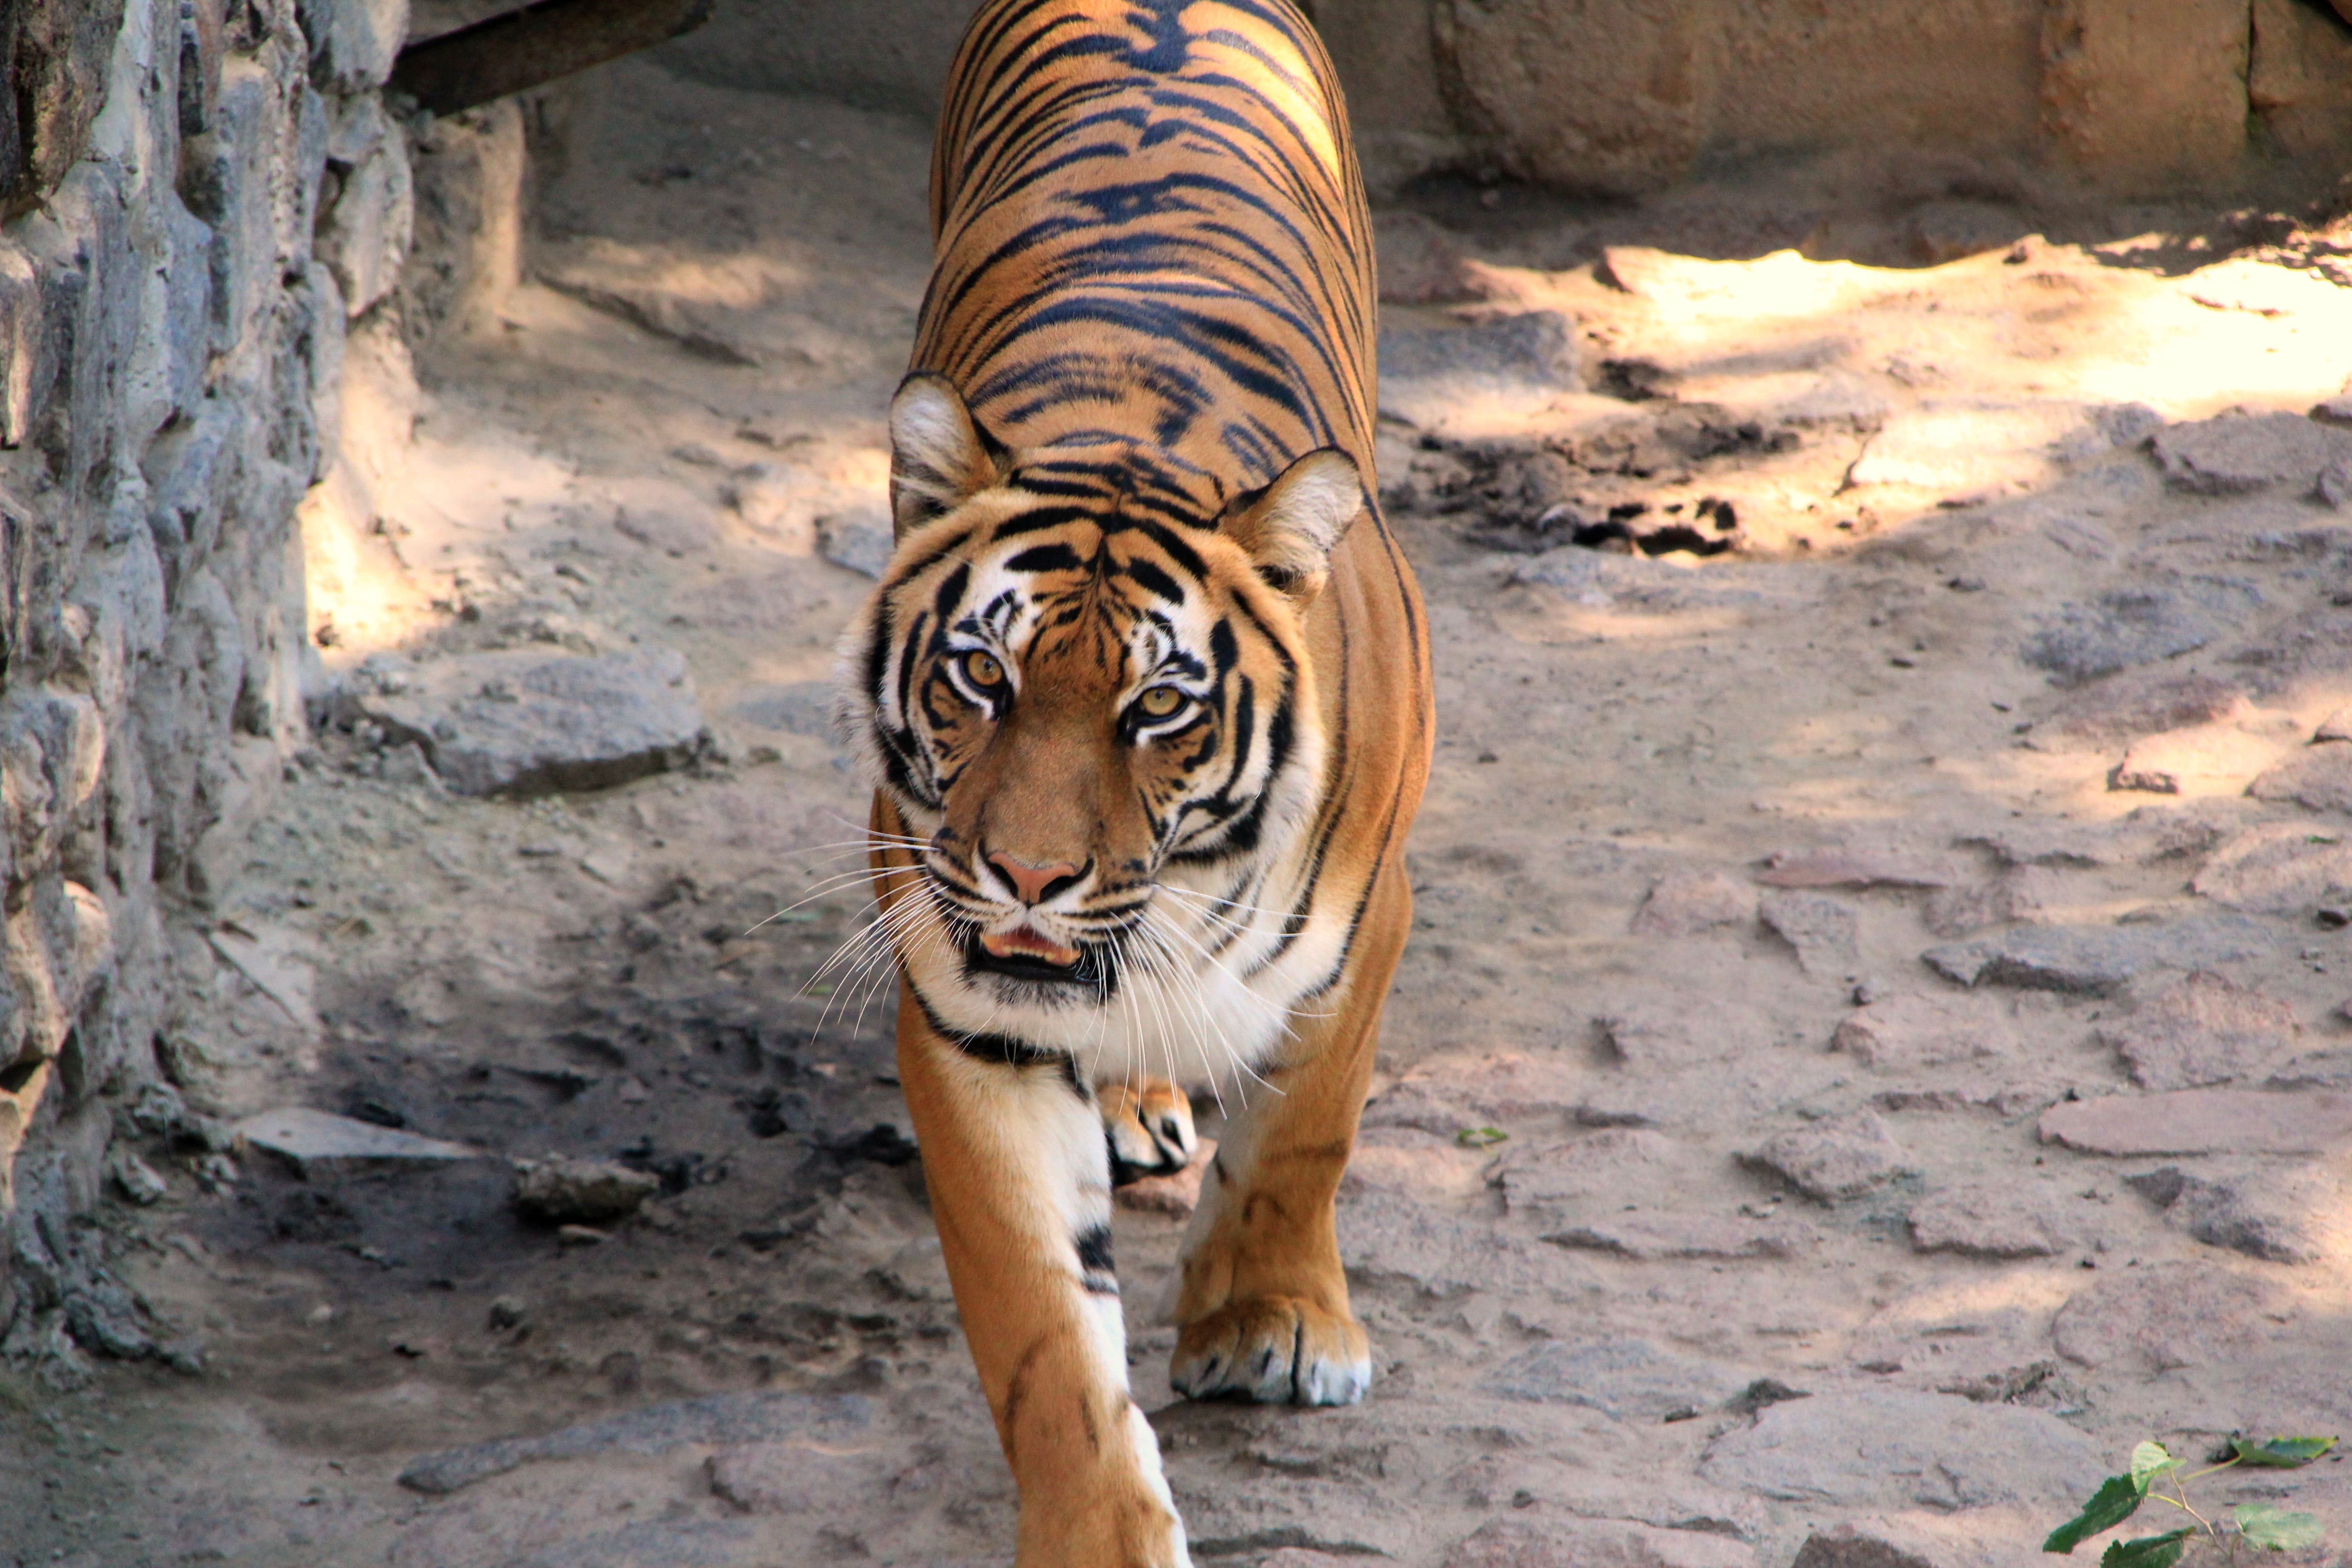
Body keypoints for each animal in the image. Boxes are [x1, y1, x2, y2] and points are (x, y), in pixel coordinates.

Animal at [834, 2, 1432, 1562]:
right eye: (981, 676)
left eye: (1158, 707)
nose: (1030, 877)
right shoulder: (966, 1000)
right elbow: (1045, 1331)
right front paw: (1104, 1530)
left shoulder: (1368, 927)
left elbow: (1305, 1130)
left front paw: (1273, 1326)